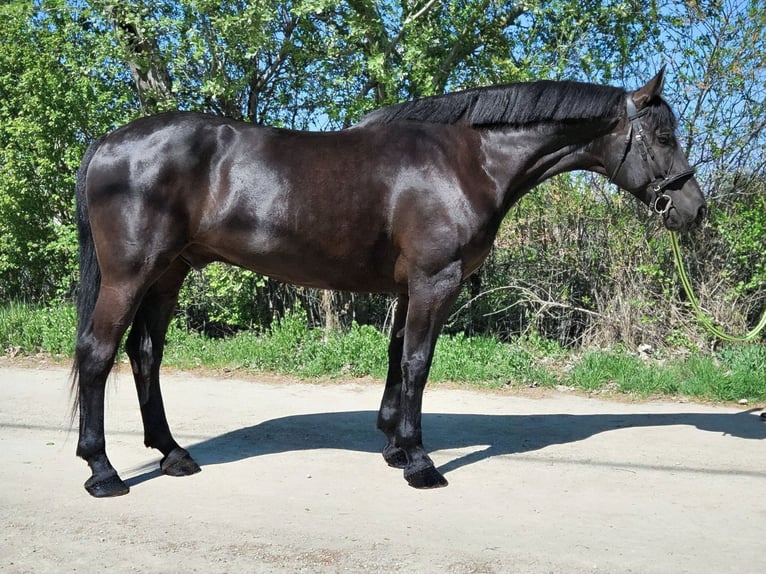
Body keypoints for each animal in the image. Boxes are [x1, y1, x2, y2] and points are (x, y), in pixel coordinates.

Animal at [72, 68, 706, 497]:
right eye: (665, 137)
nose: (694, 210)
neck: (468, 160)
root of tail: (106, 142)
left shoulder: (410, 287)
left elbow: (398, 359)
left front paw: (397, 448)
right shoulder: (435, 281)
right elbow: (418, 364)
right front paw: (421, 464)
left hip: (168, 274)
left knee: (145, 354)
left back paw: (173, 454)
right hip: (130, 276)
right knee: (98, 354)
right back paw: (103, 471)